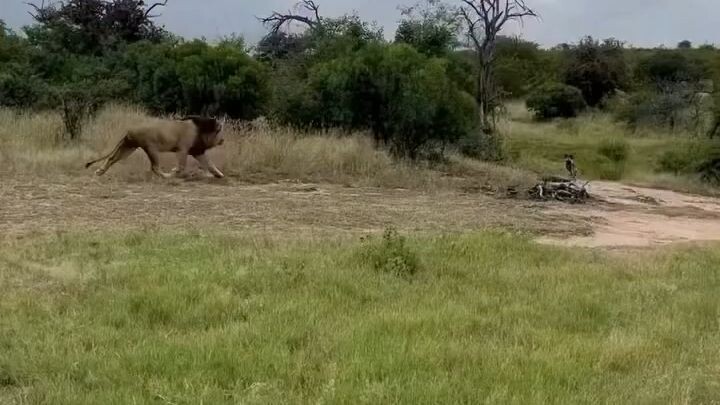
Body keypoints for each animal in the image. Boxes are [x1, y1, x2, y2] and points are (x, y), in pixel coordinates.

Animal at [85, 115, 226, 179]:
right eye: (220, 132)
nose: (223, 140)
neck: (201, 130)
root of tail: (129, 130)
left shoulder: (198, 151)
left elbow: (210, 164)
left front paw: (220, 175)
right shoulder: (182, 149)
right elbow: (181, 166)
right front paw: (174, 171)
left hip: (128, 147)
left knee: (111, 159)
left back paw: (99, 172)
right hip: (151, 148)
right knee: (155, 167)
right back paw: (166, 176)